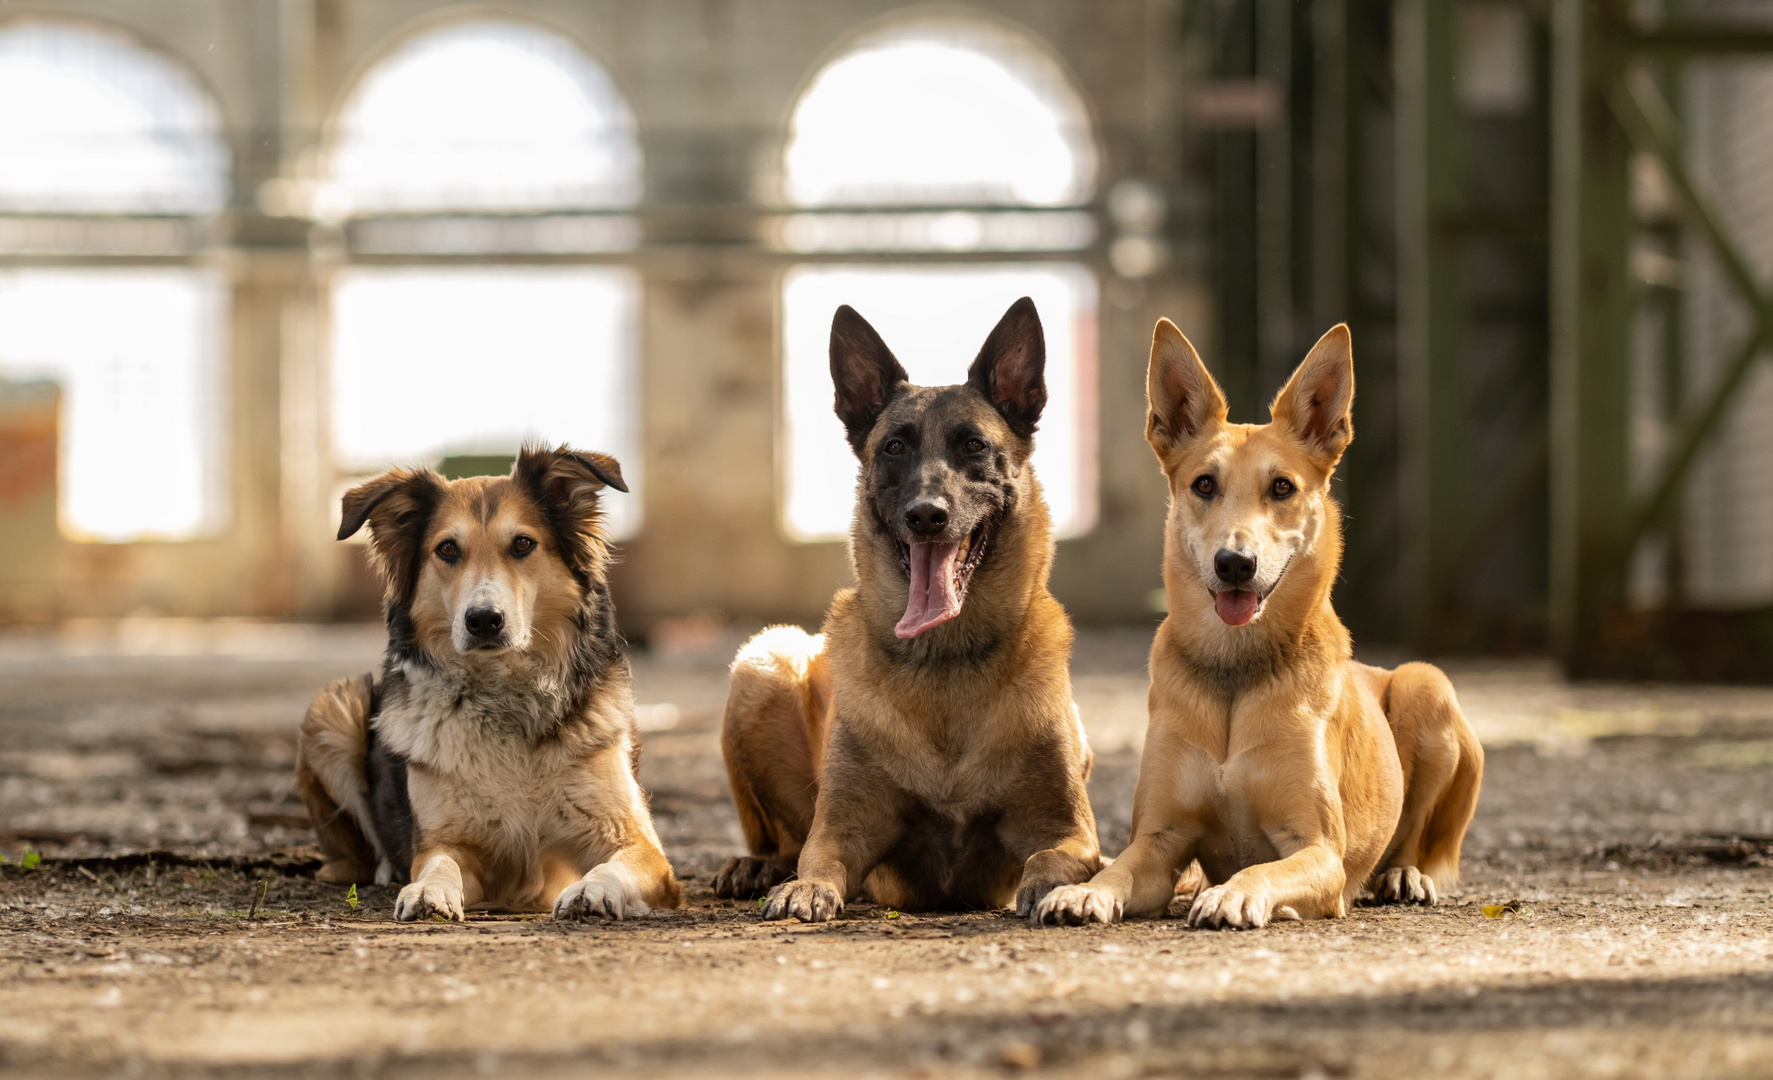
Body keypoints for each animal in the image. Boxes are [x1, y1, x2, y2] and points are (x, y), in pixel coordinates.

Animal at [290, 441, 677, 922]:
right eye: (447, 549)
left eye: (523, 544)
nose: (484, 620)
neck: (505, 695)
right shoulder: (445, 841)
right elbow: (438, 865)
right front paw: (427, 890)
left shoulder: (640, 847)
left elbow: (615, 866)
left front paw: (594, 889)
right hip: (333, 708)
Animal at [1035, 317, 1482, 929]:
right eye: (1204, 484)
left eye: (1282, 487)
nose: (1234, 563)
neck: (1236, 670)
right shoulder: (1159, 839)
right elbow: (1120, 869)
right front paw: (1083, 890)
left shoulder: (1318, 850)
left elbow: (1264, 870)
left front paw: (1233, 894)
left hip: (1427, 685)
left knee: (1412, 837)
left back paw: (1403, 875)